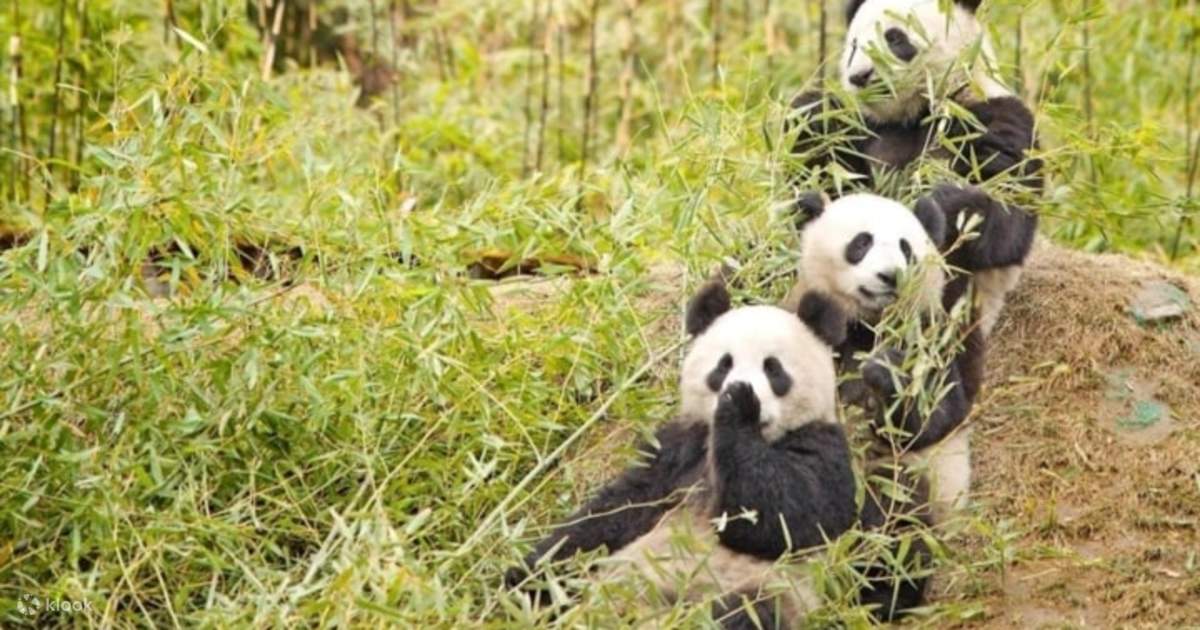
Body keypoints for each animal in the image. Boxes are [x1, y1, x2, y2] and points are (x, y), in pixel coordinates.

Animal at [507, 279, 857, 628]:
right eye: (724, 365)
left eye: (773, 369)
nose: (740, 386)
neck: (760, 438)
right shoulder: (679, 450)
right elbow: (615, 510)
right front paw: (526, 570)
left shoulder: (823, 446)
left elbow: (786, 516)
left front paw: (739, 405)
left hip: (758, 589)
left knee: (742, 613)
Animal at [789, 0, 1042, 337]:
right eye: (854, 46)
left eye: (895, 38)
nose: (860, 76)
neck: (917, 112)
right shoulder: (866, 131)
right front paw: (812, 116)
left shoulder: (993, 117)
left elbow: (1004, 214)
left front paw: (942, 202)